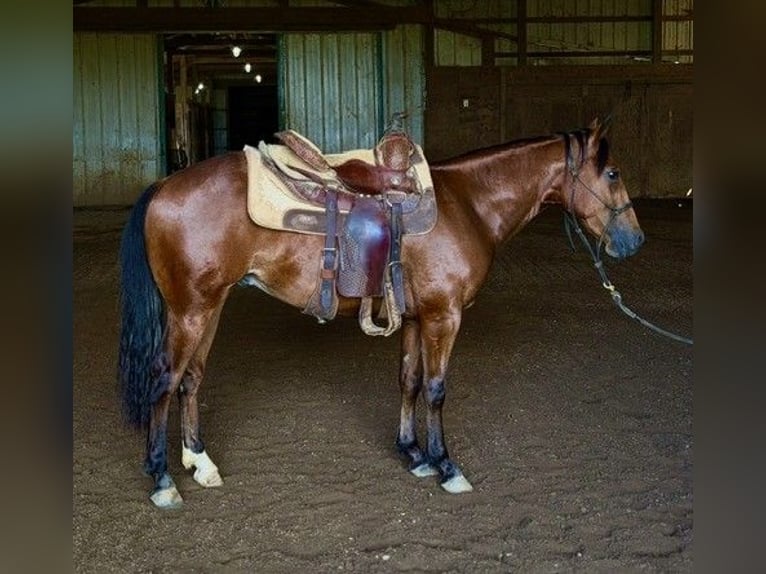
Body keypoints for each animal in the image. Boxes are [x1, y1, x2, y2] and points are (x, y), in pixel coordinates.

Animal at [118, 117, 644, 508]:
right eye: (614, 173)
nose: (634, 240)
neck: (468, 204)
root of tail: (163, 185)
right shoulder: (444, 317)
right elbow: (435, 389)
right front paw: (446, 465)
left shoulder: (416, 317)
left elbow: (409, 381)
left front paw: (413, 453)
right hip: (191, 310)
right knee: (164, 379)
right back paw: (162, 479)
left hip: (210, 305)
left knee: (191, 379)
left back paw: (200, 463)